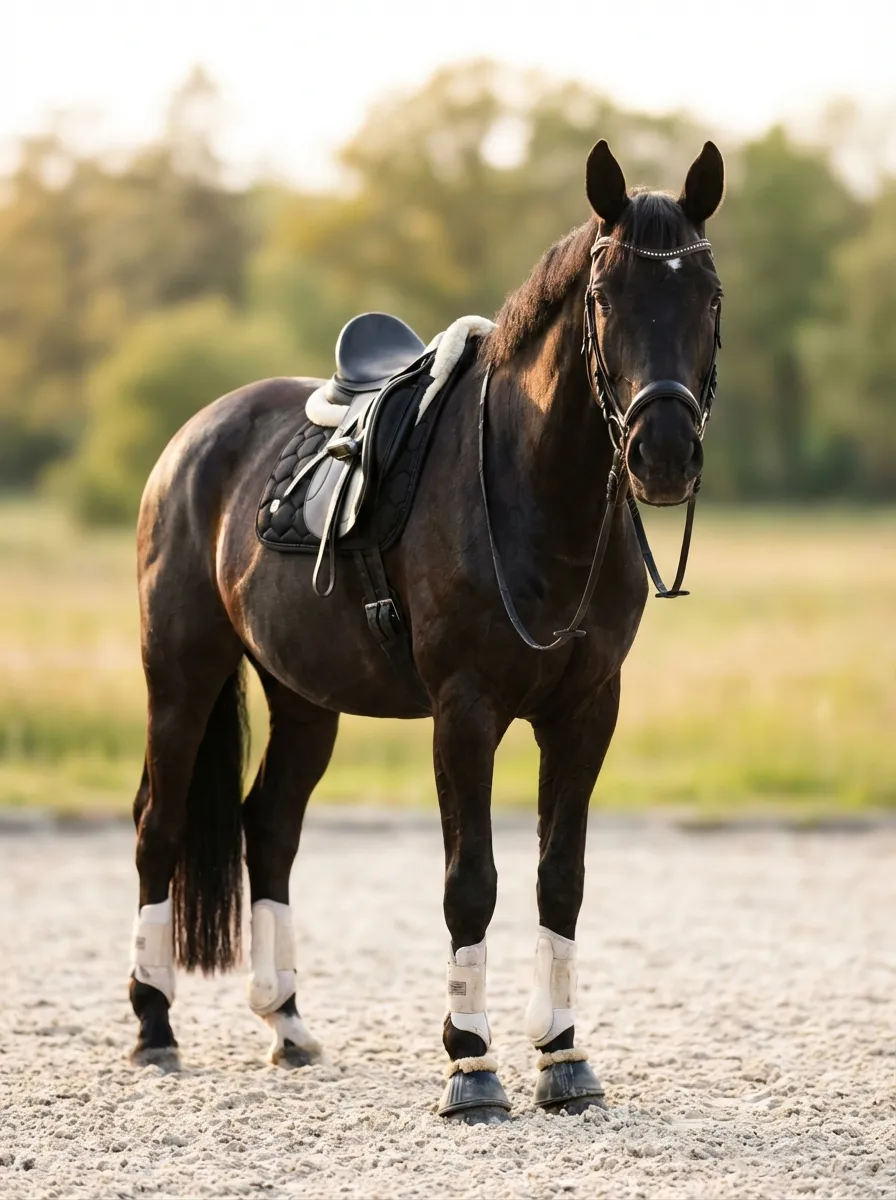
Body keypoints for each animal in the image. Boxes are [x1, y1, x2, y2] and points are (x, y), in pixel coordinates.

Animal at [129, 139, 725, 1124]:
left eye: (709, 295)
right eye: (605, 296)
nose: (665, 454)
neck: (532, 490)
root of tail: (193, 437)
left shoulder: (587, 710)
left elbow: (560, 875)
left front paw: (563, 1054)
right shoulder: (465, 712)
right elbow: (470, 881)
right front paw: (471, 1064)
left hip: (305, 697)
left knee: (269, 826)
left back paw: (287, 1022)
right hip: (182, 675)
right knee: (158, 827)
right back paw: (152, 1023)